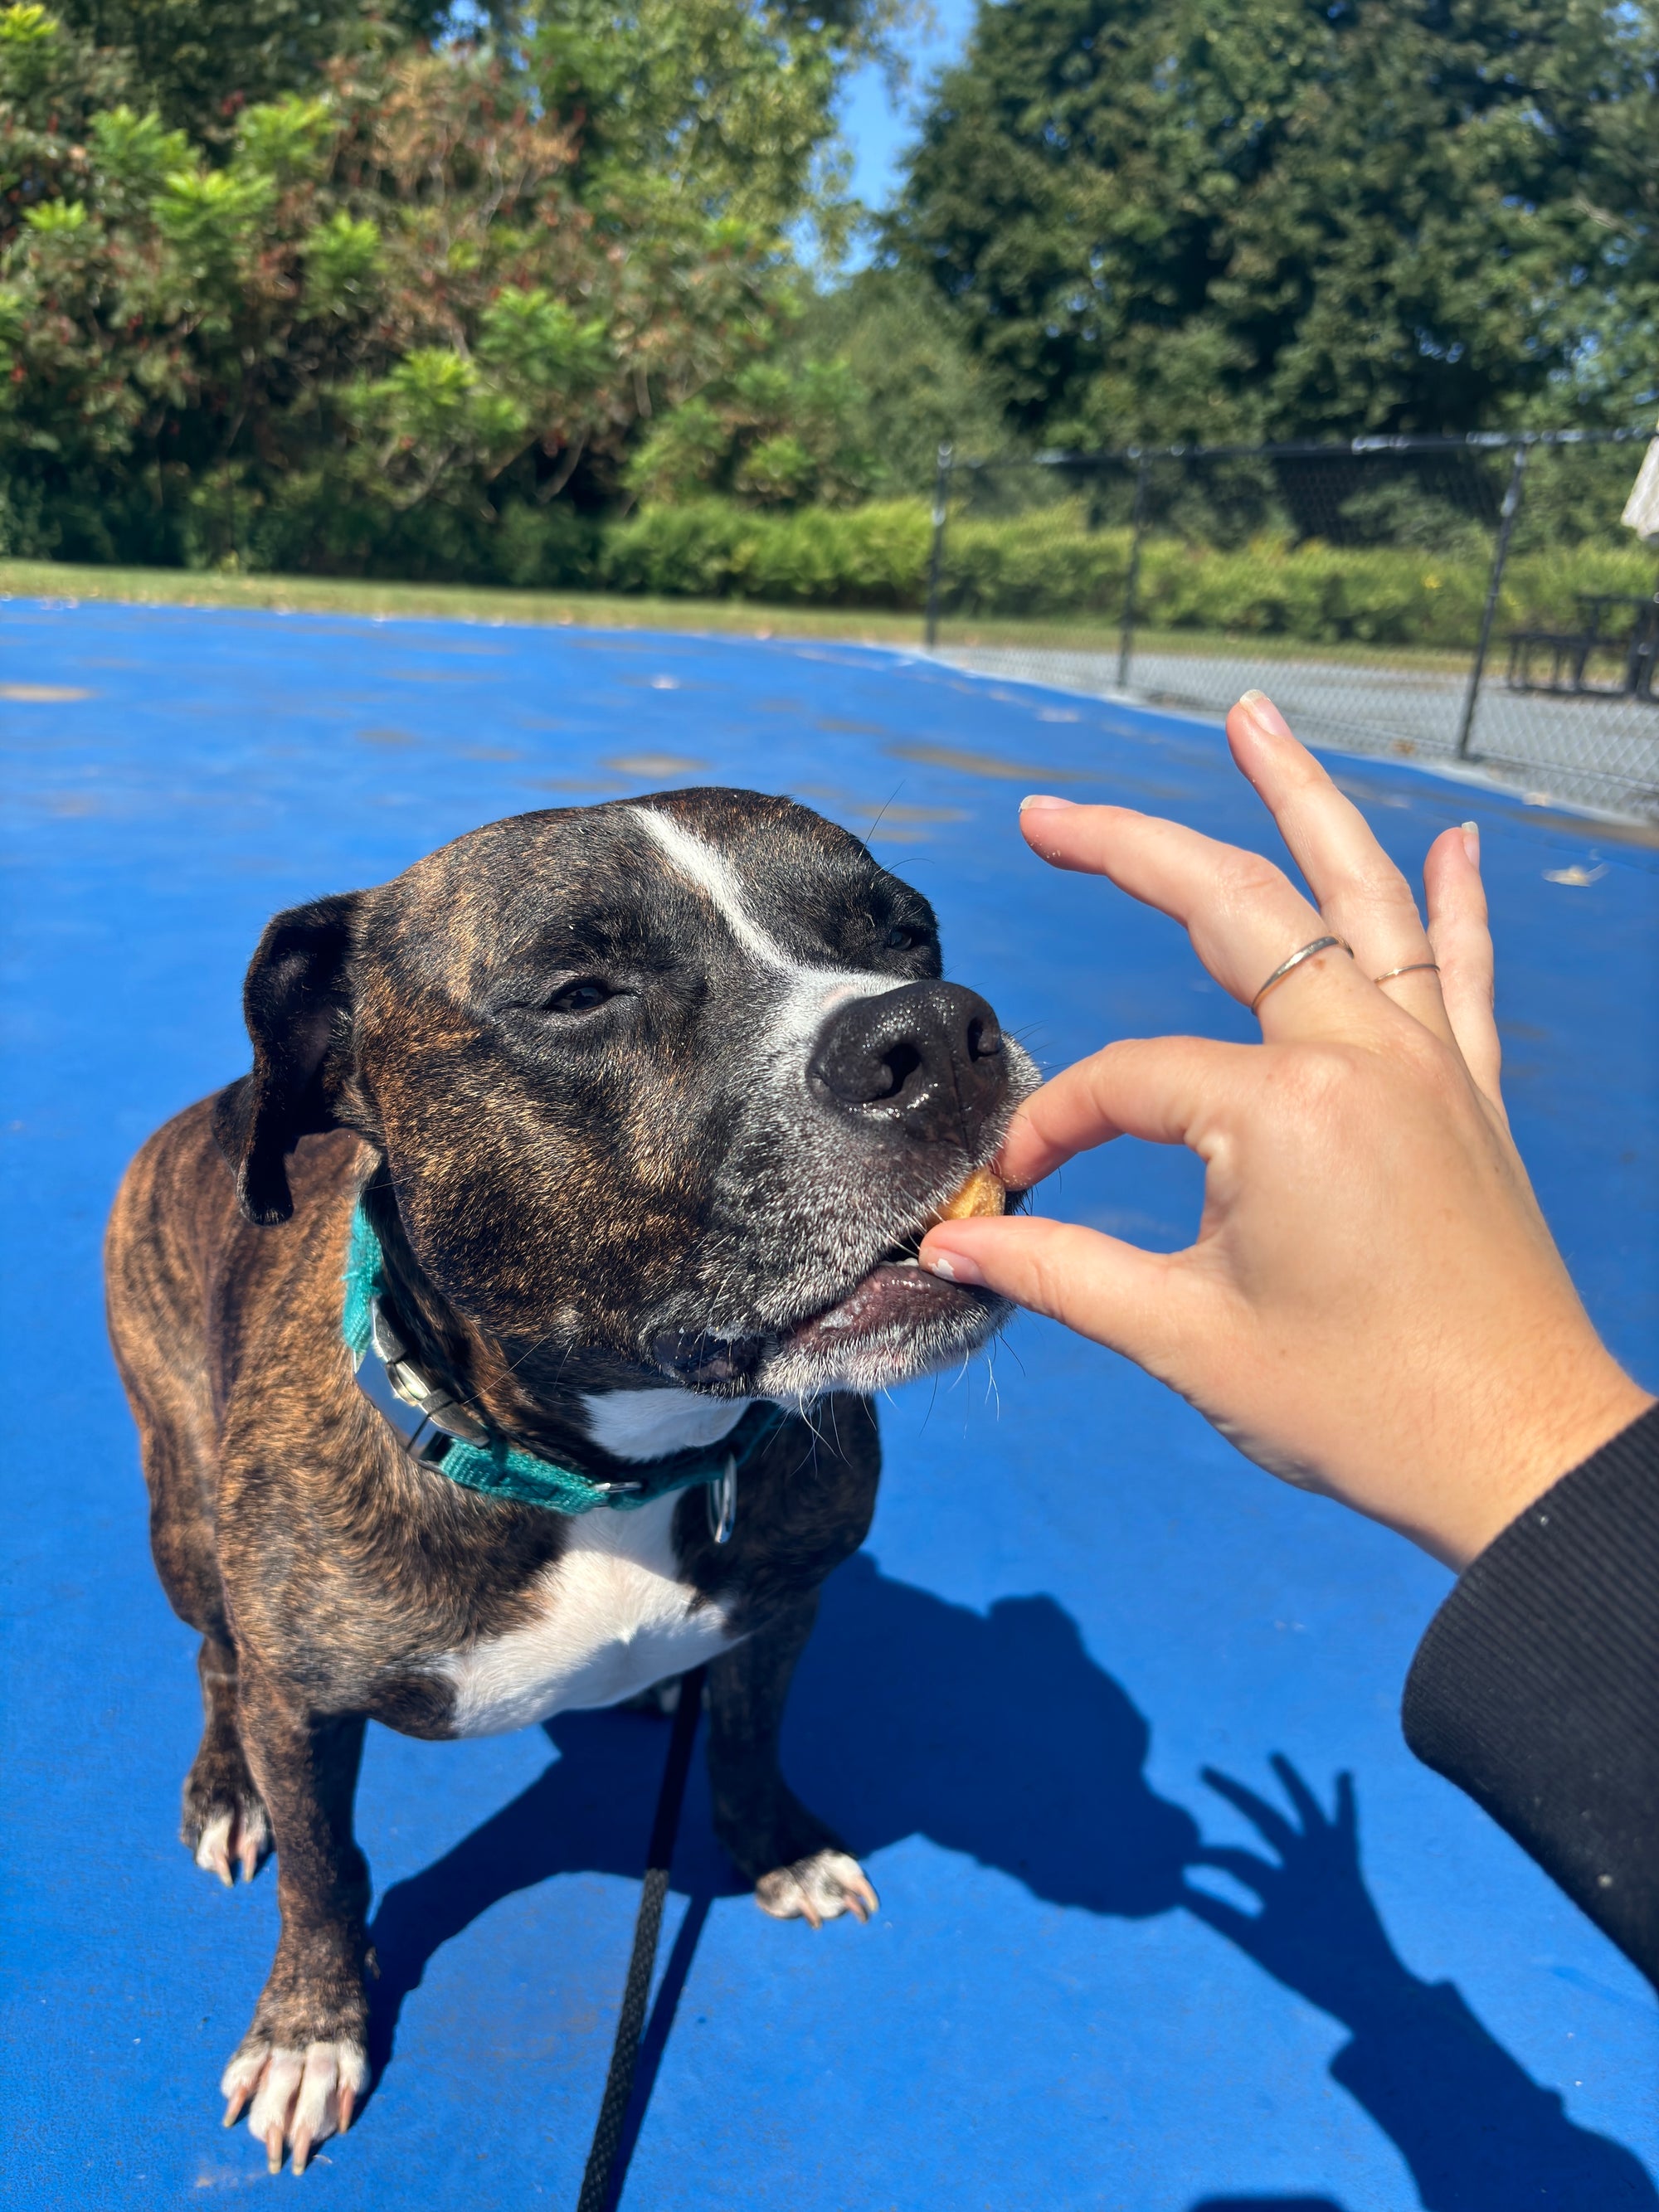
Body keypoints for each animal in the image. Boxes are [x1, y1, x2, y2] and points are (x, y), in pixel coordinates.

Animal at [104, 787, 1035, 2167]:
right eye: (580, 993)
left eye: (904, 932)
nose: (931, 1027)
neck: (616, 1467)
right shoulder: (305, 1704)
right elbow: (326, 1873)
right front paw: (310, 2029)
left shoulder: (788, 1599)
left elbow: (748, 1740)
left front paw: (780, 1848)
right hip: (183, 1516)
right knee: (217, 1655)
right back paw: (226, 1788)